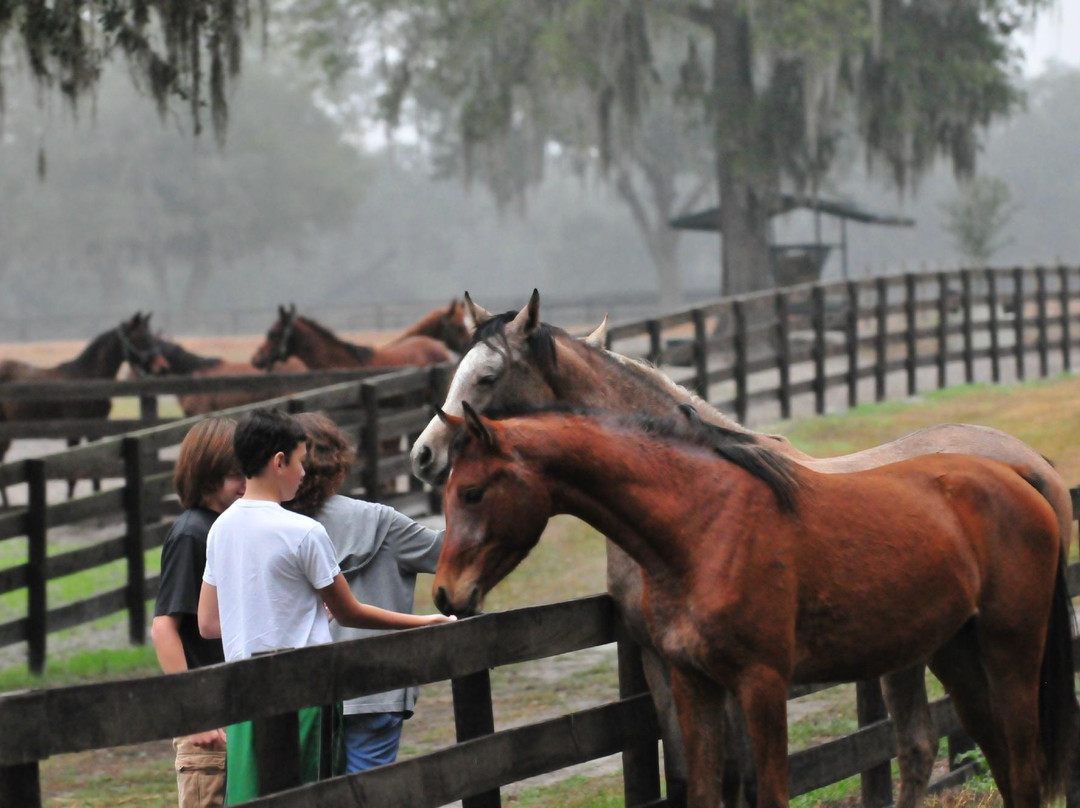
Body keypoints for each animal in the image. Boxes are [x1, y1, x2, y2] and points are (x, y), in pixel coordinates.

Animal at [0, 311, 162, 505]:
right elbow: (72, 474)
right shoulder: (74, 431)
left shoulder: (96, 429)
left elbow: (95, 469)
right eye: (141, 336)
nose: (159, 364)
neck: (88, 379)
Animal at [408, 289, 1075, 808]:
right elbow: (692, 776)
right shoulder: (665, 664)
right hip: (938, 647)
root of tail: (1029, 467)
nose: (423, 456)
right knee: (936, 745)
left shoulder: (747, 677)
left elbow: (747, 779)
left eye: (486, 376)